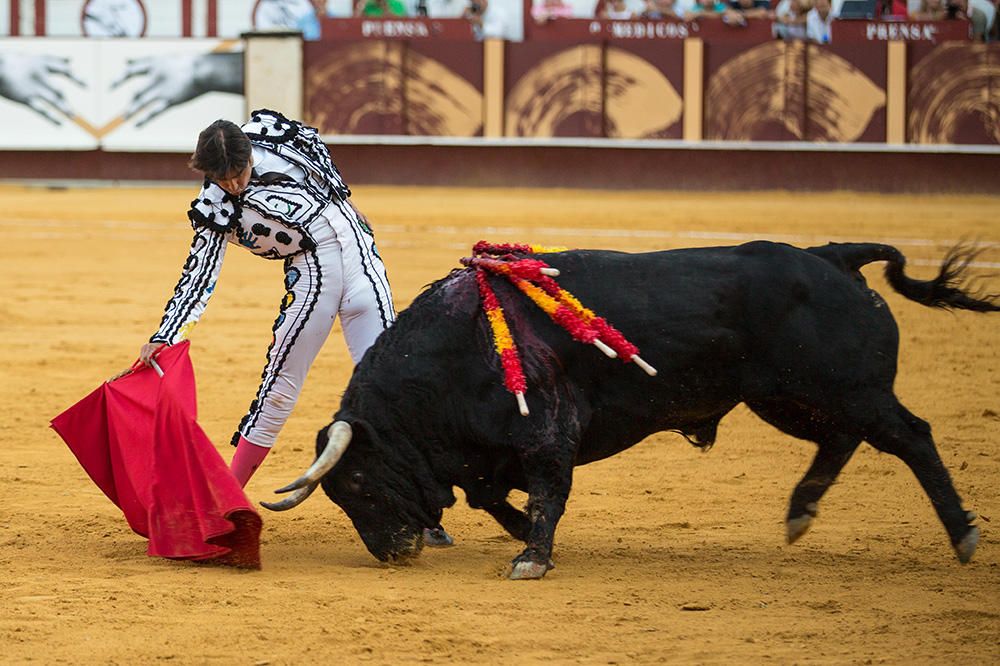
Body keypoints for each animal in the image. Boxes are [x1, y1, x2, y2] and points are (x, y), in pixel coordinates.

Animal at [262, 241, 996, 580]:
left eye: (358, 481)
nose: (393, 552)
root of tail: (832, 257)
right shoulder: (492, 451)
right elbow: (491, 496)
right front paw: (520, 533)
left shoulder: (545, 431)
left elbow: (545, 492)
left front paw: (532, 557)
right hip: (786, 398)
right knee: (842, 441)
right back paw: (800, 511)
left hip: (845, 390)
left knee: (911, 436)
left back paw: (961, 534)